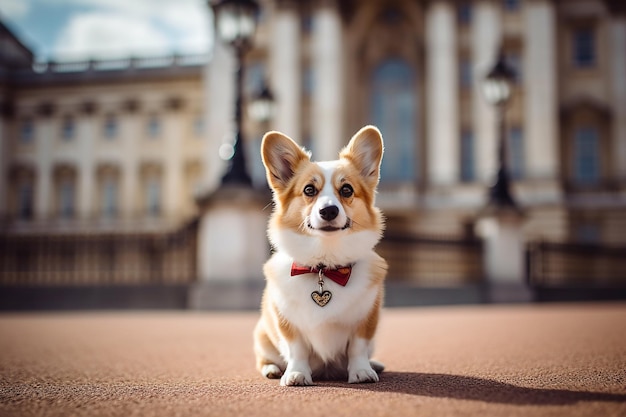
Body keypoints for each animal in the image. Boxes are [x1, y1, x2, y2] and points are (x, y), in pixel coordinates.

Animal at [254, 125, 386, 386]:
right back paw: (272, 370)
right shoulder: (287, 322)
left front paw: (362, 372)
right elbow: (297, 350)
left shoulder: (366, 319)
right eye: (309, 190)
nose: (329, 211)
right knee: (264, 360)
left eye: (346, 190)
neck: (325, 266)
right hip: (262, 335)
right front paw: (296, 374)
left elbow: (357, 348)